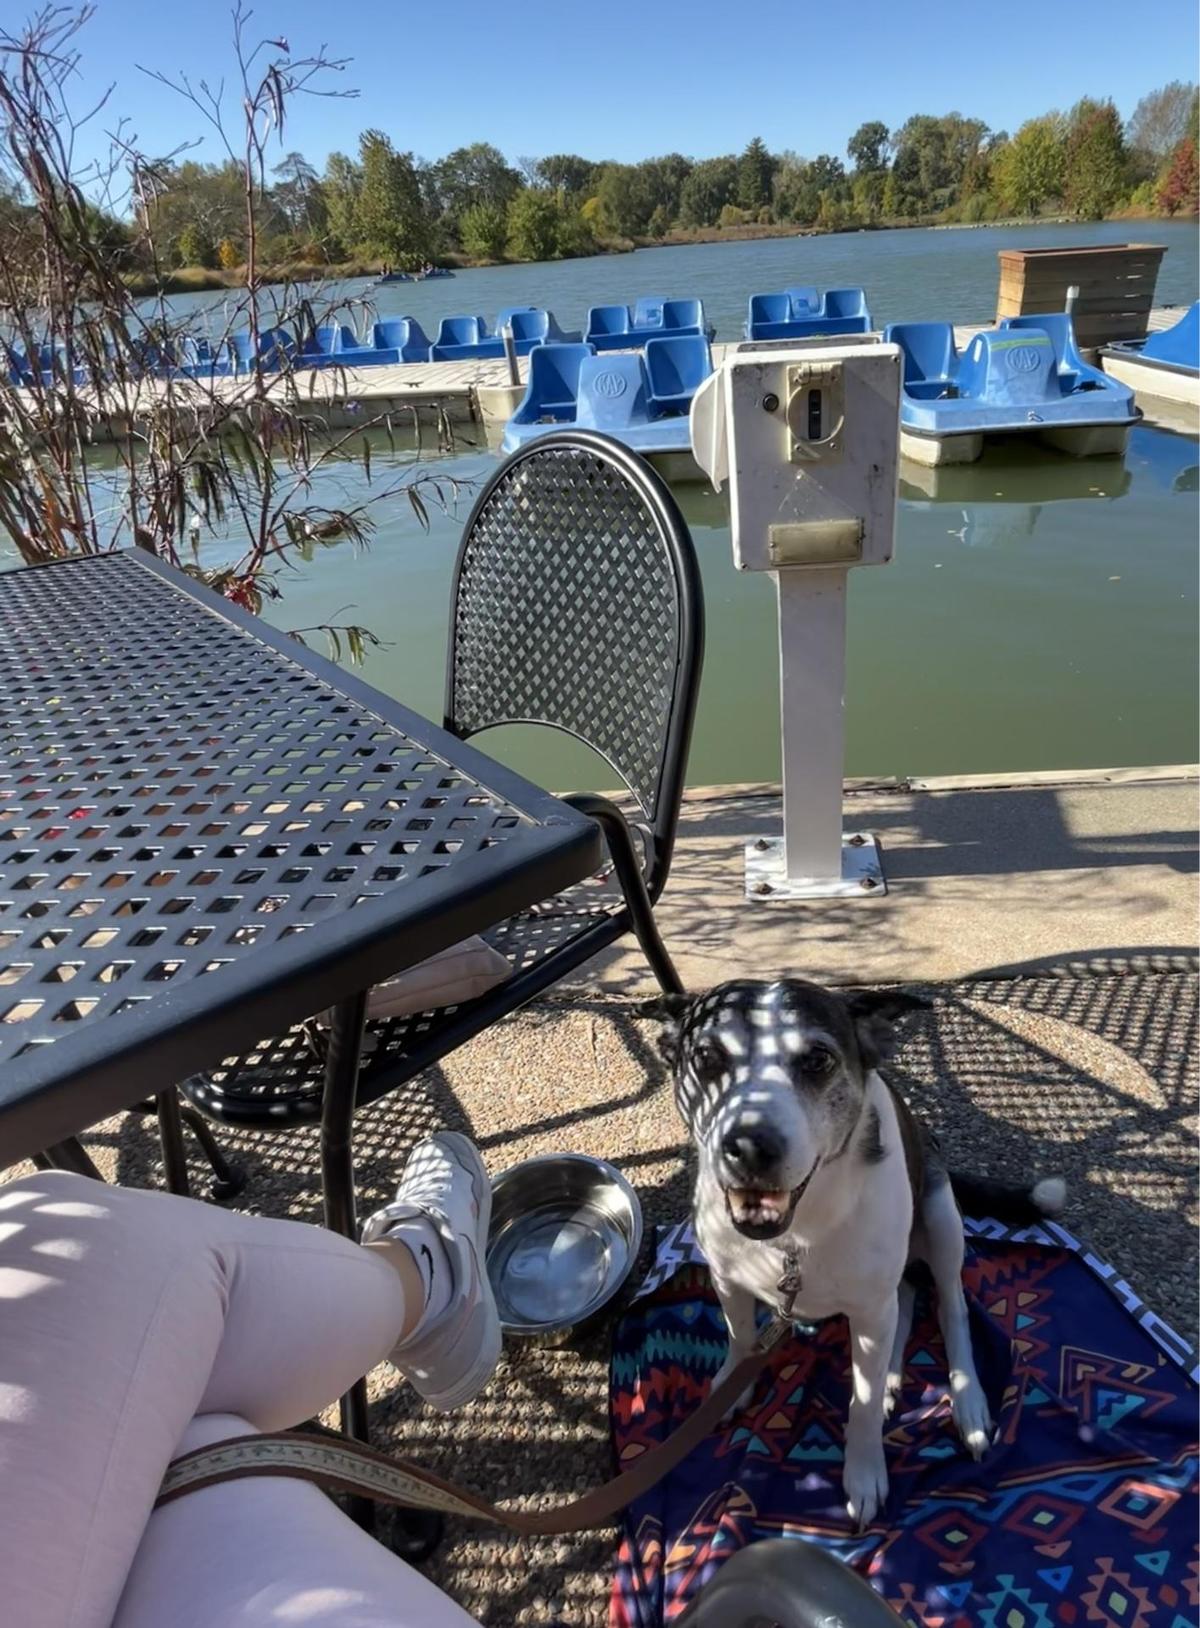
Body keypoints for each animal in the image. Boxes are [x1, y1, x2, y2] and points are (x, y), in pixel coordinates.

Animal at [651, 976, 1061, 1523]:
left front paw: (864, 1474)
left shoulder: (869, 1306)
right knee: (906, 1297)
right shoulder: (727, 1277)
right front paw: (731, 1385)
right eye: (706, 1057)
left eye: (817, 1059)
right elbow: (740, 1338)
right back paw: (891, 1376)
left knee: (948, 1306)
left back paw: (965, 1400)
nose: (751, 1146)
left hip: (940, 1214)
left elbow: (861, 1406)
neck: (794, 1236)